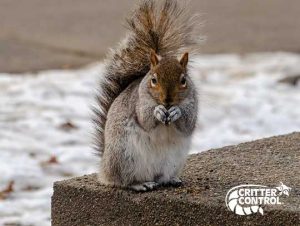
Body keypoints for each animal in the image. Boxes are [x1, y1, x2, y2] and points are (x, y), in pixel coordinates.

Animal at [91, 0, 199, 191]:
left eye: (183, 80)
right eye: (153, 80)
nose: (167, 100)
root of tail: (105, 167)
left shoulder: (192, 103)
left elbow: (188, 123)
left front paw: (176, 112)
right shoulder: (138, 102)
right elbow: (145, 119)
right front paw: (157, 111)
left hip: (173, 162)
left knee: (161, 178)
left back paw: (171, 180)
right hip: (125, 158)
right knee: (123, 181)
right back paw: (140, 184)